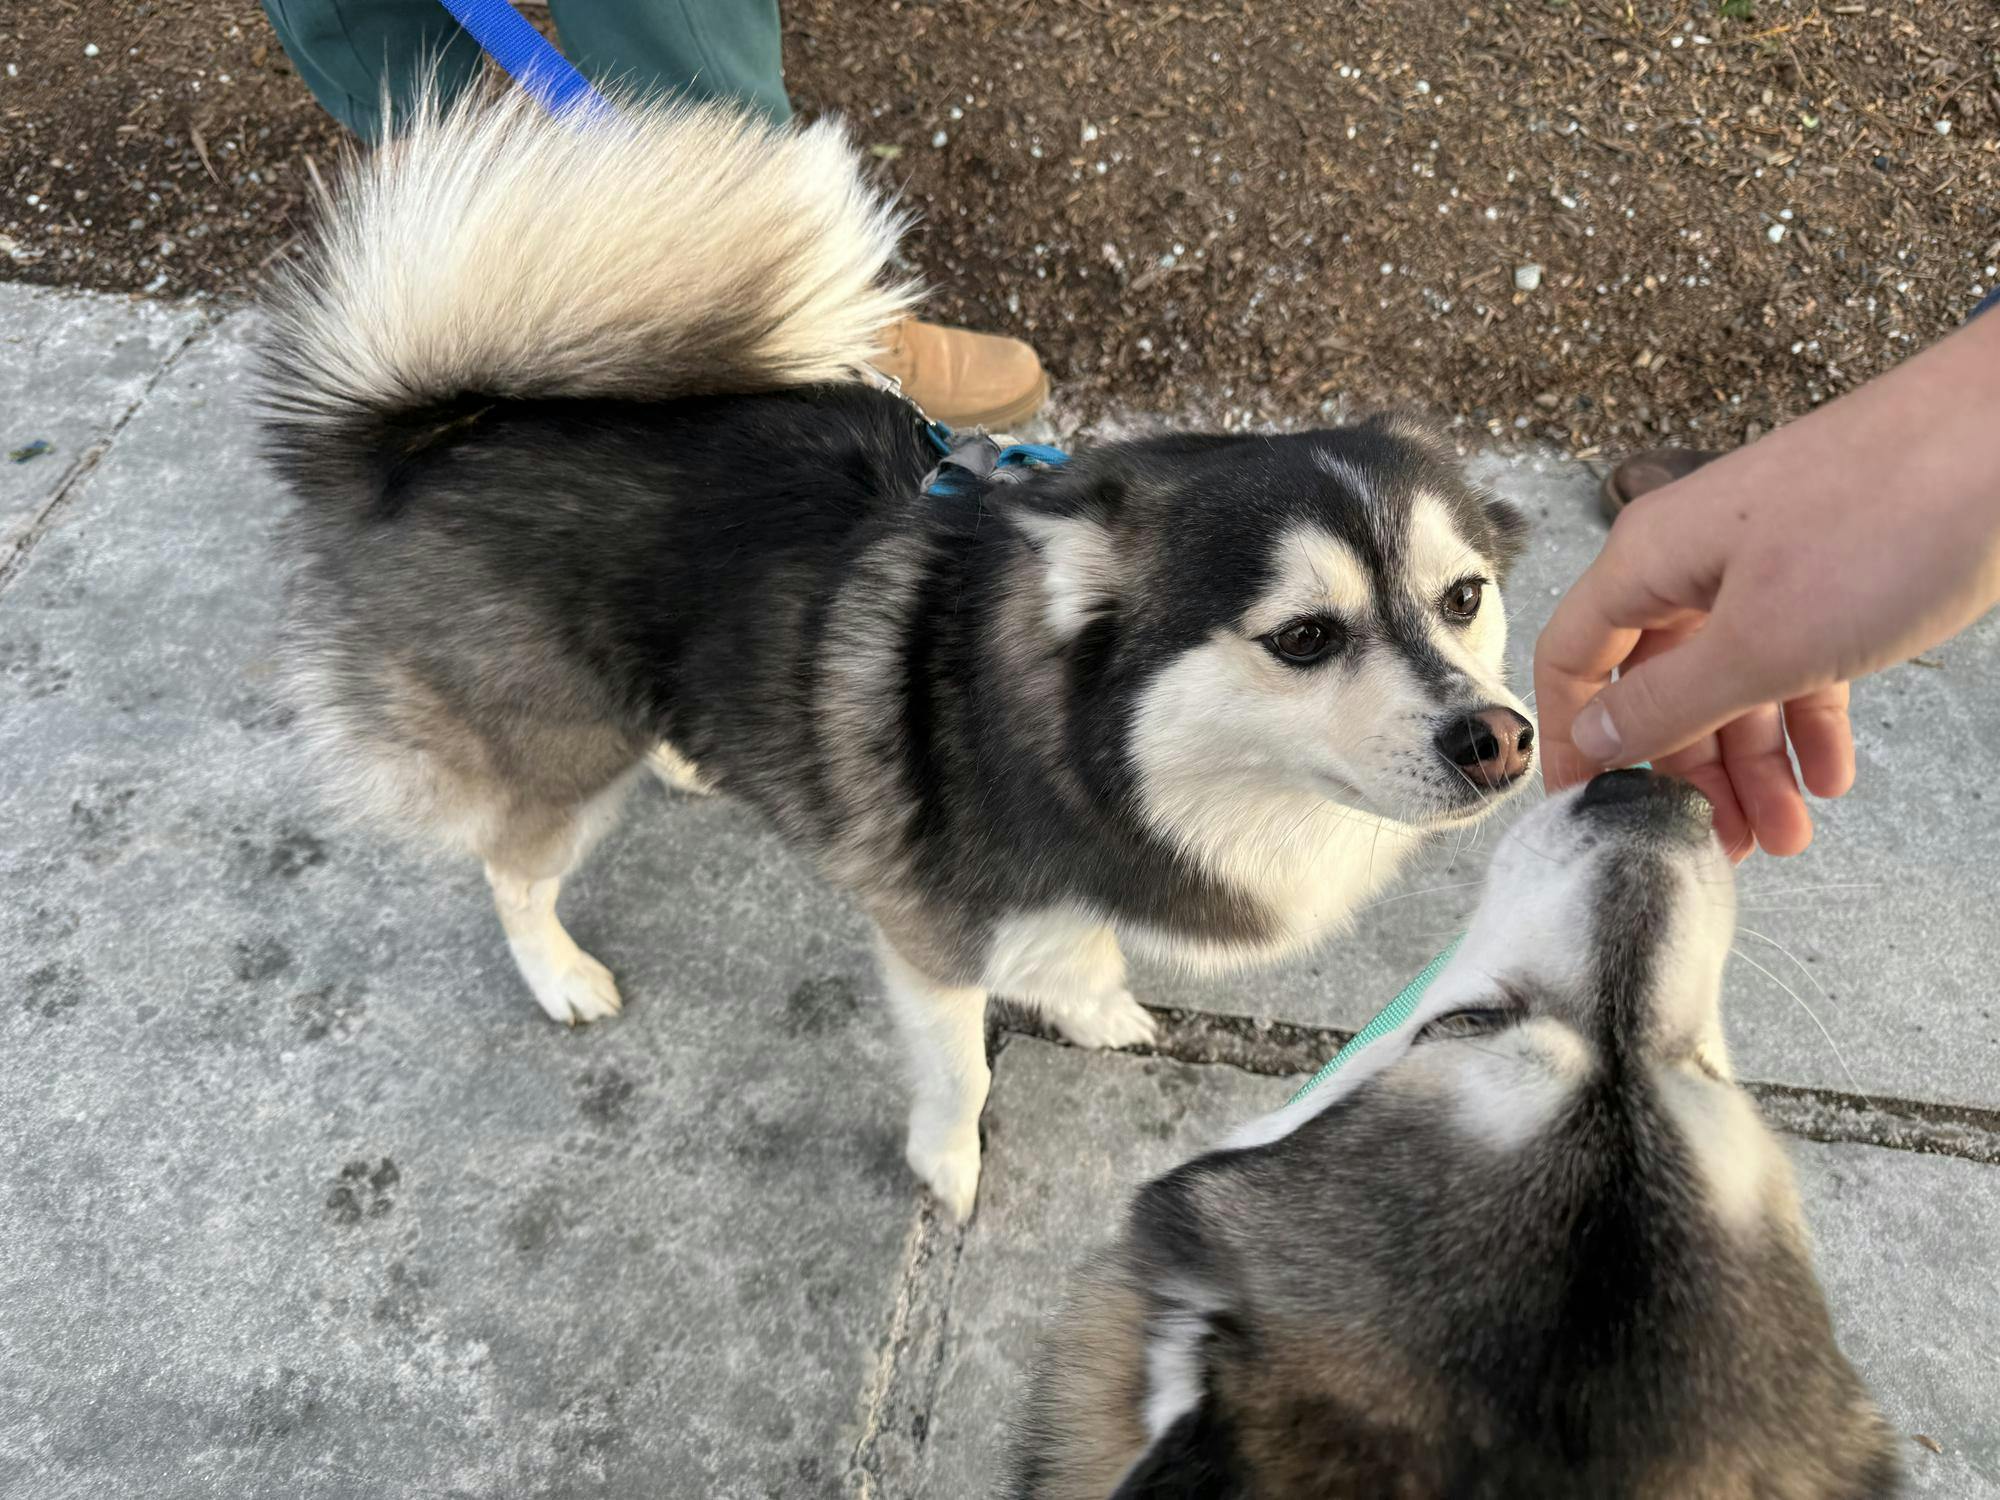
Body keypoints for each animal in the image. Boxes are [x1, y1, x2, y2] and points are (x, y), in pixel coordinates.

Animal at [262, 91, 1528, 1224]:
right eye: (1303, 637)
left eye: (1463, 598)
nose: (1499, 739)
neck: (1085, 751)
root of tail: (429, 431)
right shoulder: (930, 938)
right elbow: (963, 1067)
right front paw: (950, 1167)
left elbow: (1085, 957)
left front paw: (1093, 1008)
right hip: (551, 751)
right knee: (512, 868)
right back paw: (558, 973)